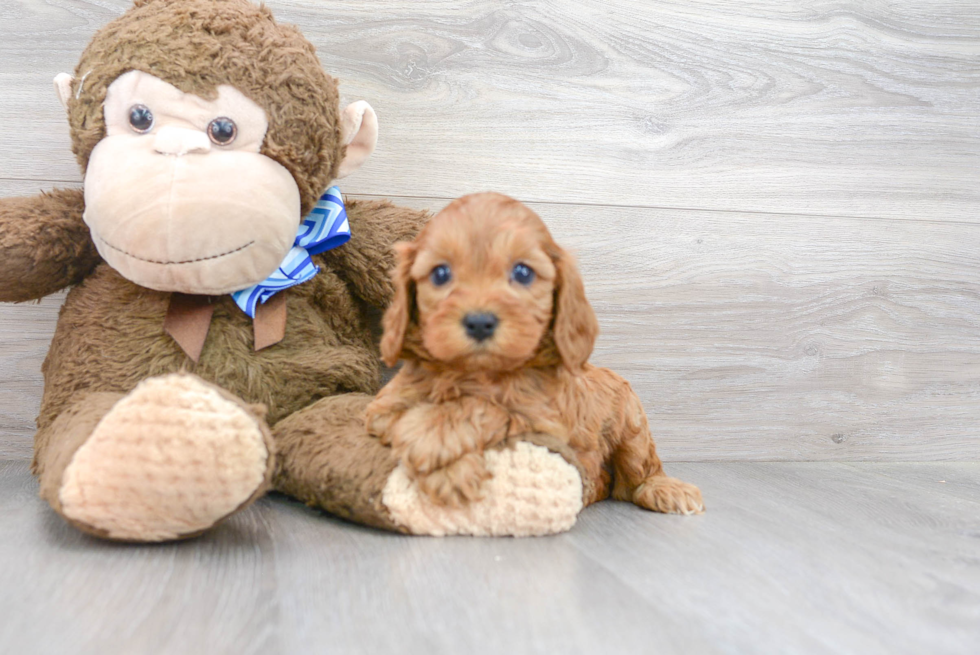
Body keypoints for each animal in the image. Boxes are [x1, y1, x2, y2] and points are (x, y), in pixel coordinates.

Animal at [364, 192, 700, 516]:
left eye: (523, 272)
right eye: (441, 273)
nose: (479, 322)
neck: (476, 373)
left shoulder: (546, 424)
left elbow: (486, 407)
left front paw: (434, 436)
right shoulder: (380, 410)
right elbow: (399, 418)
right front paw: (449, 468)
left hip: (632, 425)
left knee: (639, 471)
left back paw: (666, 490)